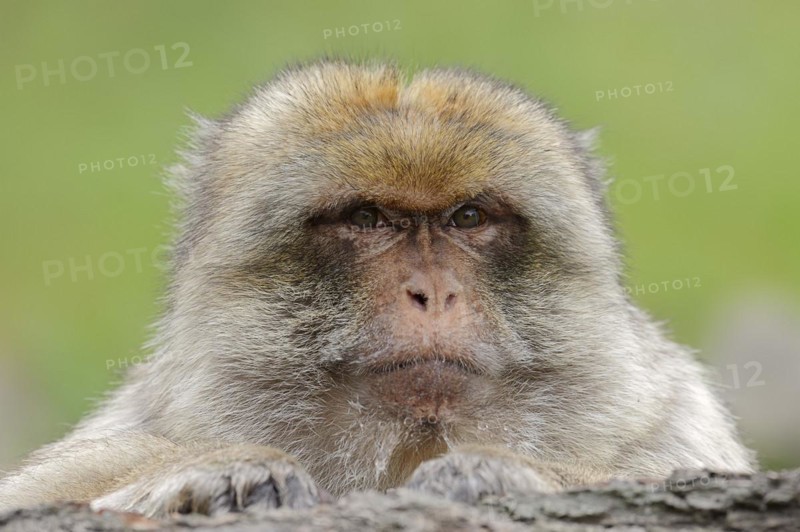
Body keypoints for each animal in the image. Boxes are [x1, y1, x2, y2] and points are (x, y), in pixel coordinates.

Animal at [0, 59, 755, 517]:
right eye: (367, 219)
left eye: (469, 218)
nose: (433, 294)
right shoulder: (134, 429)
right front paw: (217, 475)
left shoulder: (672, 421)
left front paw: (494, 473)